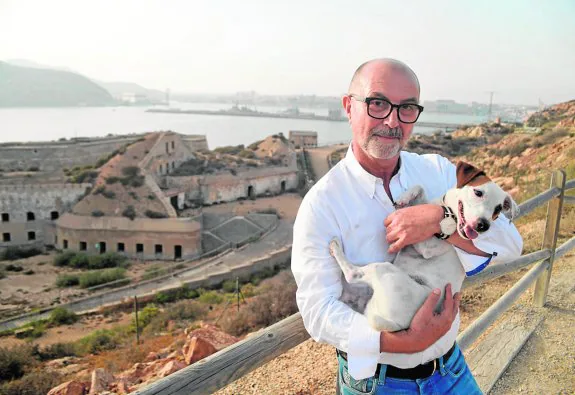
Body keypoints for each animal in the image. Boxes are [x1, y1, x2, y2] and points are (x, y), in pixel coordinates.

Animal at [330, 162, 520, 334]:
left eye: (498, 209)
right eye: (478, 192)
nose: (483, 225)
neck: (447, 209)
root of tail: (396, 325)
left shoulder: (427, 247)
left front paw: (443, 223)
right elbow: (419, 189)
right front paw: (406, 198)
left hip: (382, 270)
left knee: (353, 274)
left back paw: (335, 248)